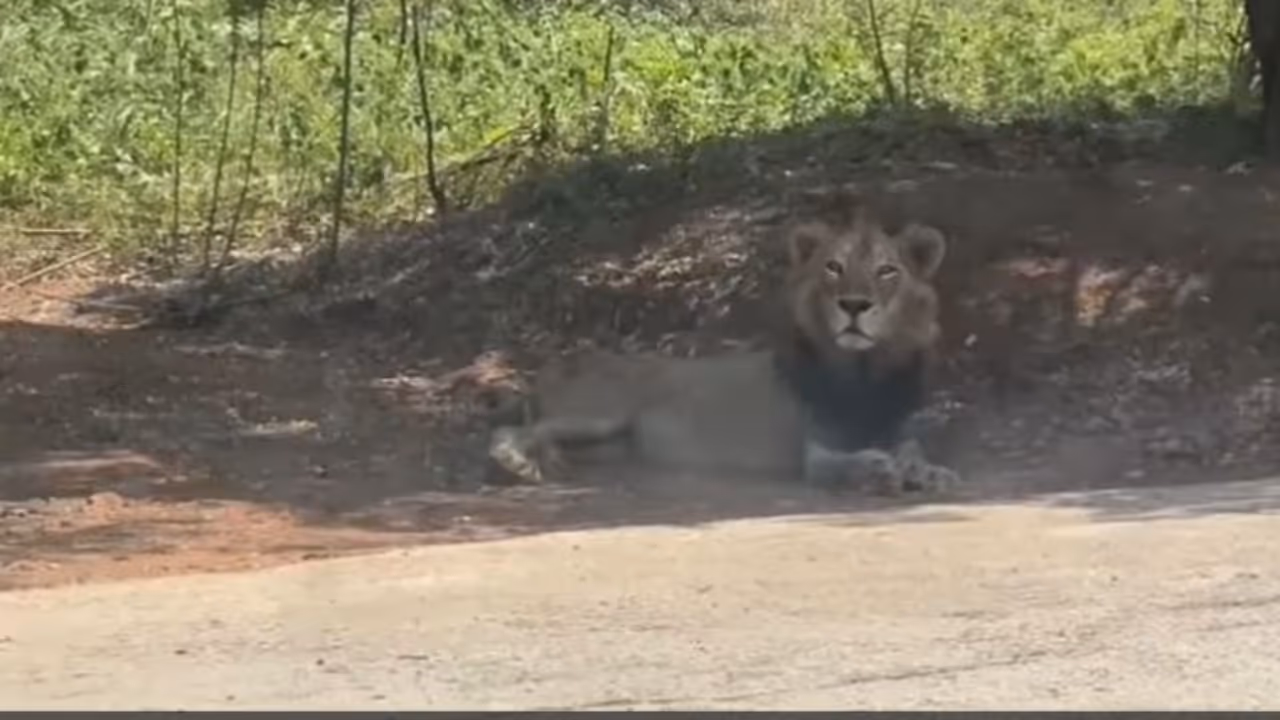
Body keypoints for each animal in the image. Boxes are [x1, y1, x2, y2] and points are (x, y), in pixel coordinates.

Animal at [488, 192, 960, 495]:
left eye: (887, 271)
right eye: (833, 267)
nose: (855, 305)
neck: (866, 368)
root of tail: (551, 368)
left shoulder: (898, 425)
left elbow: (914, 450)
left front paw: (931, 473)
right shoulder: (816, 453)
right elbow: (845, 463)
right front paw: (878, 469)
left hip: (610, 443)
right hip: (599, 414)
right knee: (510, 431)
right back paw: (518, 464)